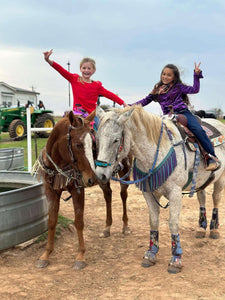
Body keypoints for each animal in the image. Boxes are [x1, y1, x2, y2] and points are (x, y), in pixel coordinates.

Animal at [94, 105, 225, 274]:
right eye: (97, 138)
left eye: (116, 140)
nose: (101, 174)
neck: (156, 150)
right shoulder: (149, 193)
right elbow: (153, 221)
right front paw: (151, 254)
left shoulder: (175, 193)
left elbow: (173, 223)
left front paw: (176, 259)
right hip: (201, 182)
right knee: (202, 197)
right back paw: (201, 229)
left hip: (220, 179)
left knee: (216, 199)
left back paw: (214, 229)